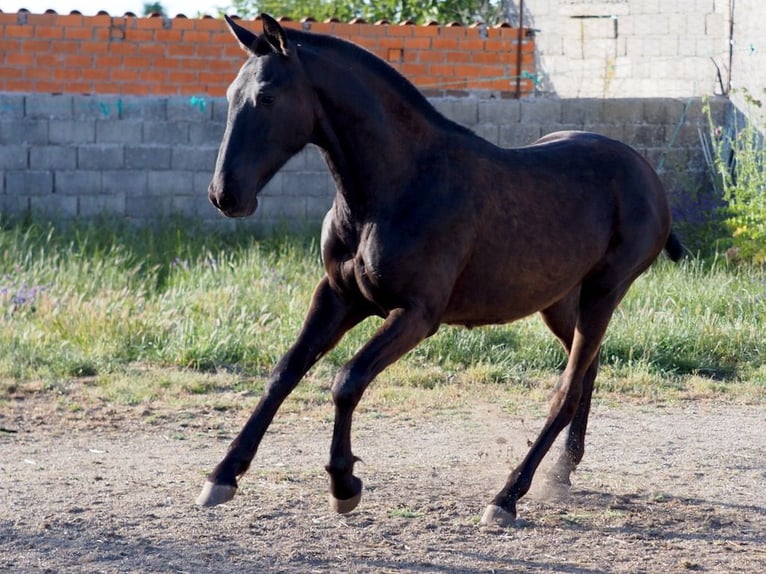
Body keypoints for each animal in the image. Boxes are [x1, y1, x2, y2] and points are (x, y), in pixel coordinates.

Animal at [200, 14, 684, 528]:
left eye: (267, 97)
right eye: (231, 94)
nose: (225, 195)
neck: (396, 187)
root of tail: (645, 173)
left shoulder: (417, 313)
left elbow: (346, 380)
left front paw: (344, 484)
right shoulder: (338, 297)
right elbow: (284, 373)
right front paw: (222, 477)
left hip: (604, 291)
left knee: (567, 389)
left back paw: (507, 496)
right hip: (558, 301)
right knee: (587, 369)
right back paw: (560, 472)